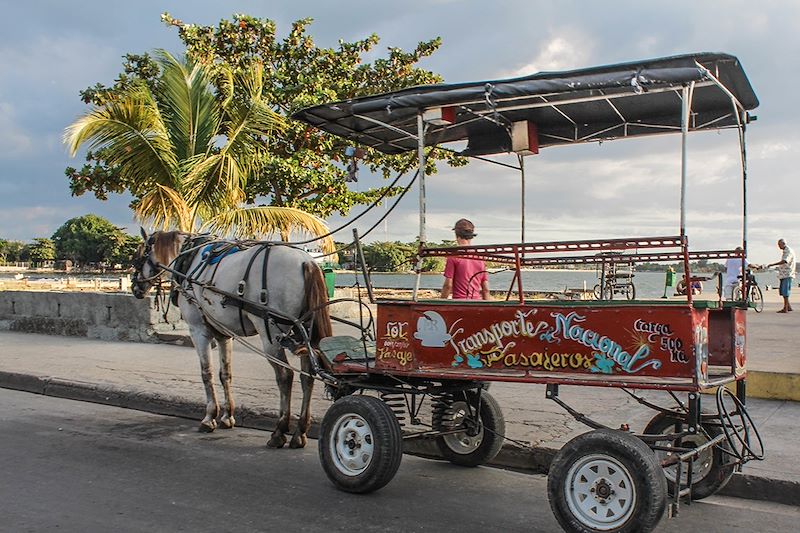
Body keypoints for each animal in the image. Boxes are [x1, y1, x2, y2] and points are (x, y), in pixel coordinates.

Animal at [131, 229, 332, 448]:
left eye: (138, 257)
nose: (134, 288)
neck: (188, 260)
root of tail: (307, 261)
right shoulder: (224, 335)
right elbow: (225, 374)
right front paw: (227, 417)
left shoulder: (198, 330)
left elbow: (207, 373)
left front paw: (209, 417)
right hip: (304, 332)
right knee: (308, 377)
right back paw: (300, 432)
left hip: (271, 334)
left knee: (285, 376)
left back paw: (279, 431)